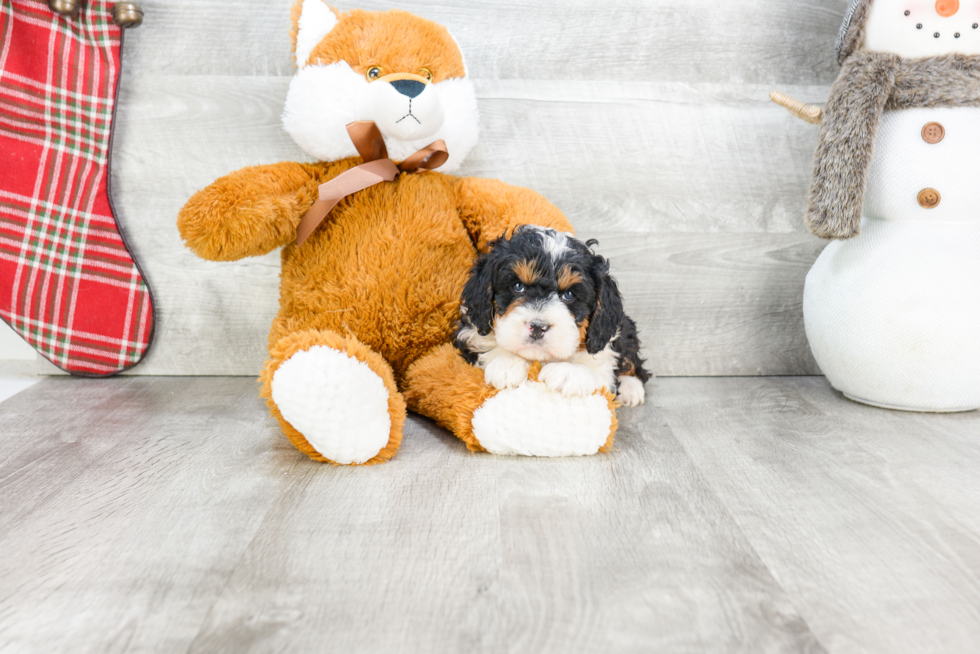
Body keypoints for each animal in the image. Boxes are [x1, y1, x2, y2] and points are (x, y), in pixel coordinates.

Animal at [456, 228, 656, 408]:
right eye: (518, 286)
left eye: (569, 295)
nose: (538, 327)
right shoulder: (469, 336)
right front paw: (506, 363)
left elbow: (599, 373)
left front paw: (567, 373)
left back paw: (631, 389)